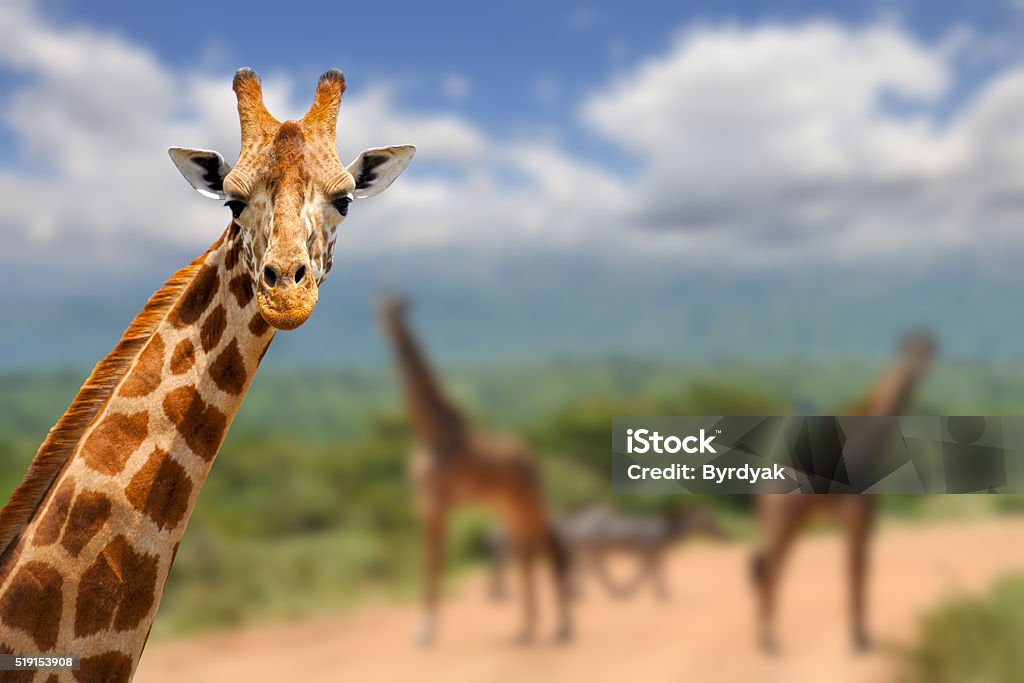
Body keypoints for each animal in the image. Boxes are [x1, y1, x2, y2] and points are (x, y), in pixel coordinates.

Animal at [376, 294, 573, 647]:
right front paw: (424, 629)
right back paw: (525, 631)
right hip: (508, 508)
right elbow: (429, 561)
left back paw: (561, 629)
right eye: (380, 308)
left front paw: (426, 631)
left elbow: (434, 562)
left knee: (549, 547)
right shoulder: (423, 503)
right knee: (526, 553)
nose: (384, 326)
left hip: (529, 502)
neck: (430, 432)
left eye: (398, 311)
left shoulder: (438, 502)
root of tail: (531, 459)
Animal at [753, 333, 937, 655]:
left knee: (770, 568)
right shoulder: (856, 511)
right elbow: (854, 570)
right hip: (782, 519)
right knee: (770, 568)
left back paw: (768, 639)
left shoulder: (870, 514)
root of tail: (762, 489)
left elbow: (864, 569)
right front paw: (858, 640)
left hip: (789, 524)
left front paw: (863, 637)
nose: (919, 369)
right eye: (910, 350)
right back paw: (768, 643)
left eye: (928, 348)